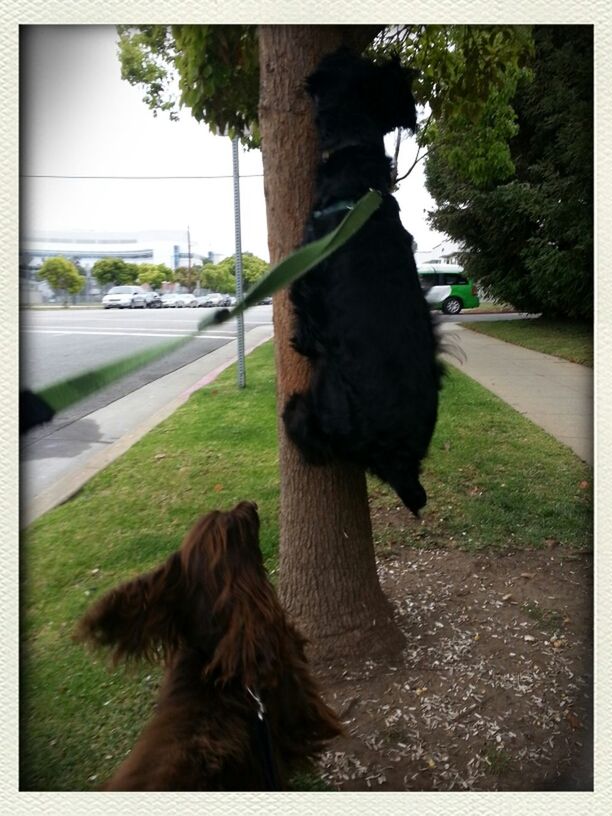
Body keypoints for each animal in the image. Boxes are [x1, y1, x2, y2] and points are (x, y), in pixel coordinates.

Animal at [282, 47, 440, 512]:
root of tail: (402, 463)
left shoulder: (307, 274)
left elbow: (304, 318)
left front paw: (299, 339)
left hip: (325, 402)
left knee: (308, 431)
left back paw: (291, 415)